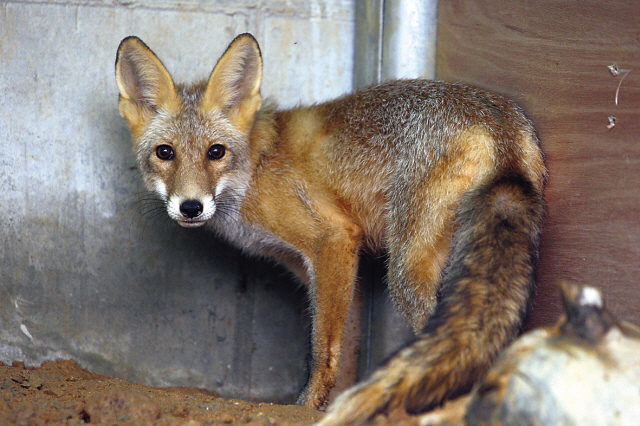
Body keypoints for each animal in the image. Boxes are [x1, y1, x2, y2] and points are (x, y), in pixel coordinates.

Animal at [114, 34, 544, 422]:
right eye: (165, 153)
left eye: (215, 152)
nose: (191, 207)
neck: (255, 168)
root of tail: (498, 118)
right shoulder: (318, 269)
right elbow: (341, 346)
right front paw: (330, 400)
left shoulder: (334, 240)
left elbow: (322, 350)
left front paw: (306, 408)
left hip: (406, 271)